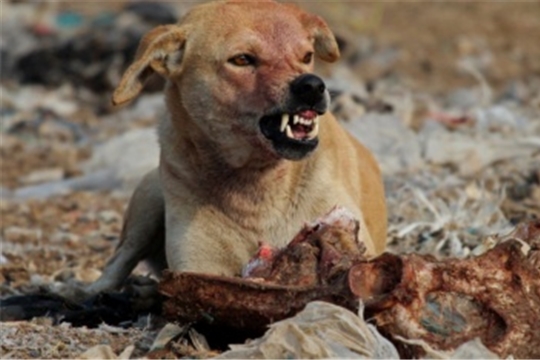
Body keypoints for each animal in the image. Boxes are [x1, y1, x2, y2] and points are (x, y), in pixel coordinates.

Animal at [88, 0, 386, 292]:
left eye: (306, 56)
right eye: (242, 59)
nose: (312, 86)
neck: (256, 186)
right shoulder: (196, 266)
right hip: (147, 199)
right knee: (116, 264)